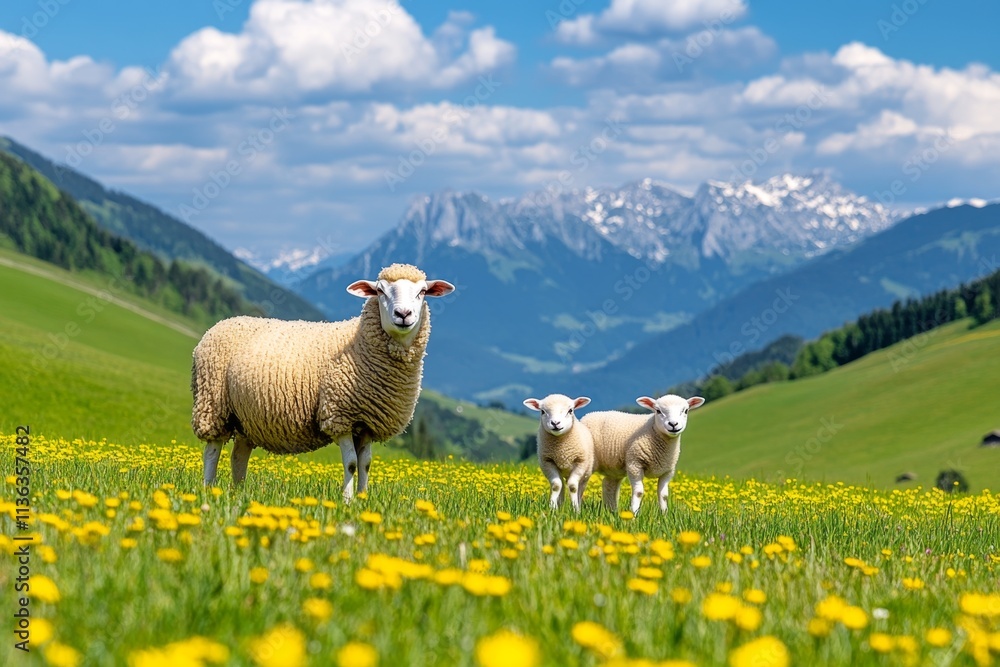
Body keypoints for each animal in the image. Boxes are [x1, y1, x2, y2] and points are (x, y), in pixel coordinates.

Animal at [191, 263, 455, 501]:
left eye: (422, 292)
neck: (359, 343)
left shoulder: (367, 422)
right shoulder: (340, 416)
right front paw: (347, 501)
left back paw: (239, 492)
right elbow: (351, 464)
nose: (403, 315)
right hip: (212, 405)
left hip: (246, 418)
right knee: (212, 451)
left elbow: (365, 464)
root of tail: (221, 323)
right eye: (380, 291)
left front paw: (362, 500)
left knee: (238, 455)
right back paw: (208, 490)